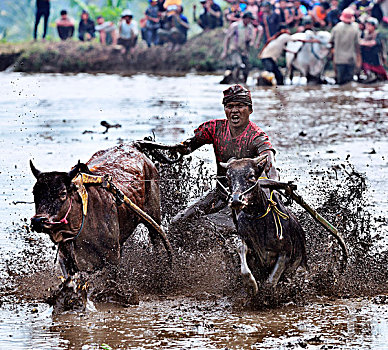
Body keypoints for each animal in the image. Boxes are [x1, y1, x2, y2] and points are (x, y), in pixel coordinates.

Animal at [29, 144, 170, 278]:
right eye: (34, 193)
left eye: (63, 193)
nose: (38, 220)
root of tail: (134, 146)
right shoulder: (66, 262)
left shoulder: (112, 260)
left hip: (153, 218)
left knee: (157, 242)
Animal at [221, 156, 306, 292]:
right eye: (228, 178)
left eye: (251, 176)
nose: (235, 200)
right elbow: (241, 249)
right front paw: (251, 284)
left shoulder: (285, 253)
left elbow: (270, 282)